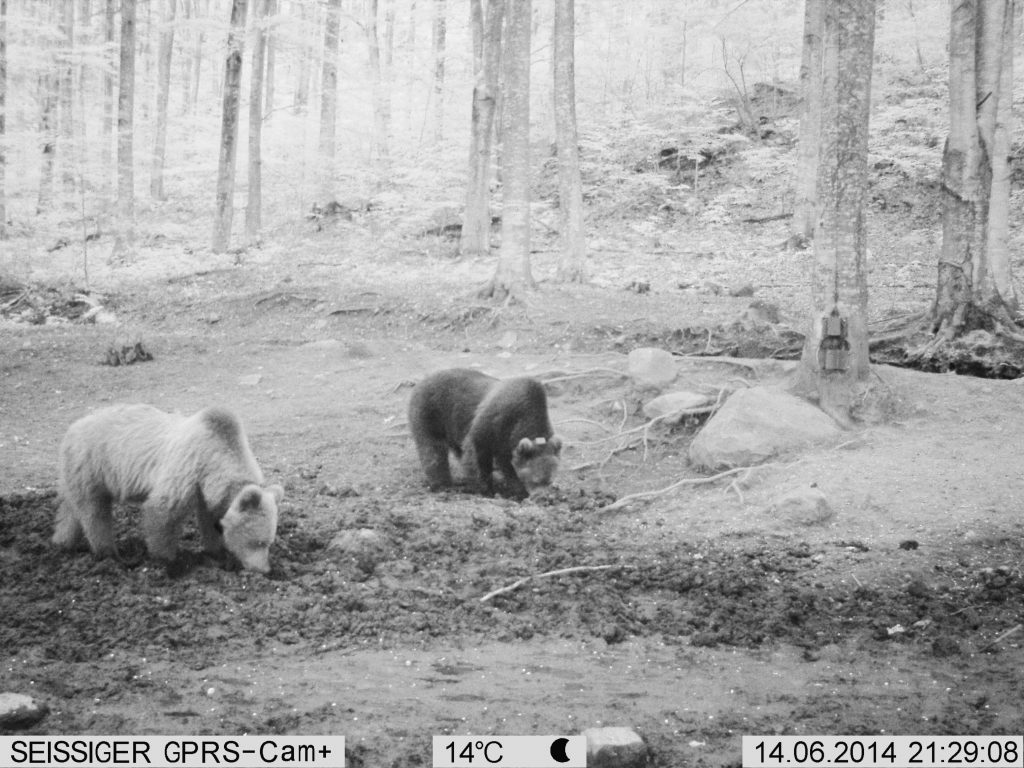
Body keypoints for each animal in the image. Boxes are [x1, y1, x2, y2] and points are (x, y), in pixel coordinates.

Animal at [54, 405, 282, 573]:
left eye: (269, 542)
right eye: (259, 542)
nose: (265, 570)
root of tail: (74, 426)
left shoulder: (205, 491)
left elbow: (208, 520)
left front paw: (216, 552)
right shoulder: (187, 469)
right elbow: (162, 513)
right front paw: (168, 560)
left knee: (71, 509)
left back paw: (62, 541)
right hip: (92, 464)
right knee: (94, 512)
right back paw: (109, 553)